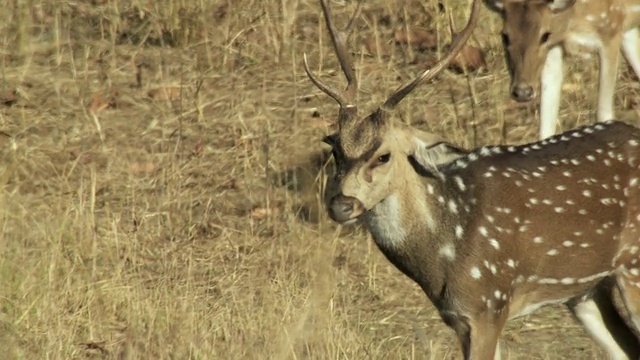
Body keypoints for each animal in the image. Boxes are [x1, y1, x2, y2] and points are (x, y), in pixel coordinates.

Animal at [484, 0, 640, 140]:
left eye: (545, 35)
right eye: (504, 35)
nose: (522, 92)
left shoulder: (611, 30)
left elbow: (604, 114)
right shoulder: (554, 48)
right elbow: (546, 126)